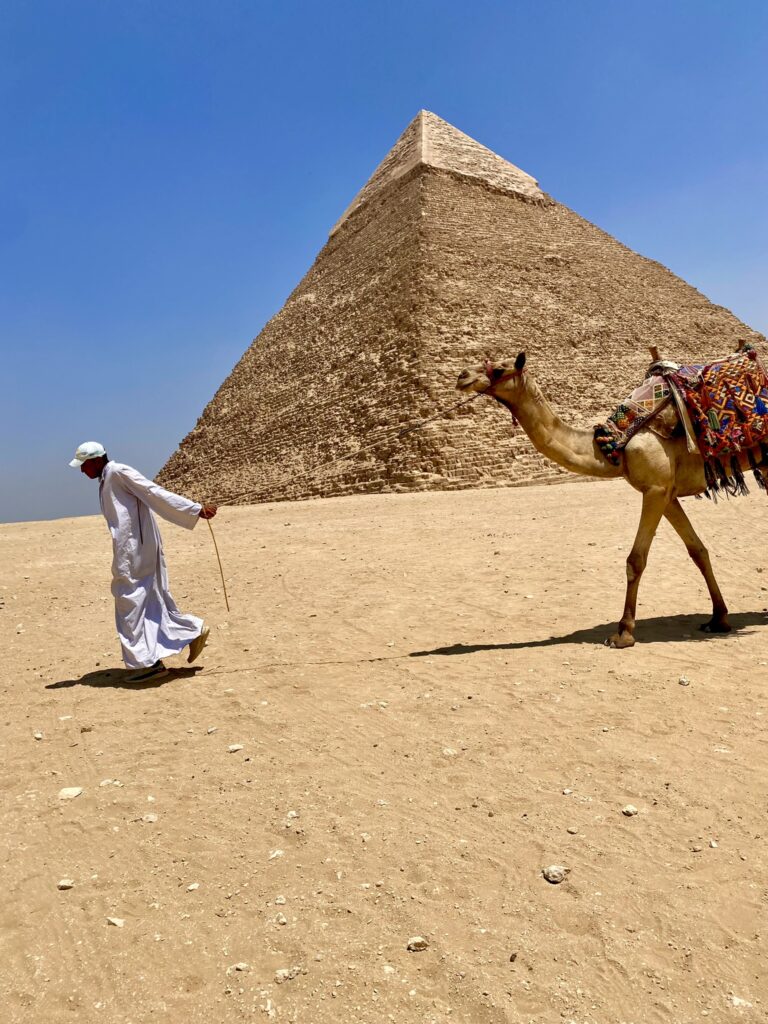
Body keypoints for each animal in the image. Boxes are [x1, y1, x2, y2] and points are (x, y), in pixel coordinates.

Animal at [456, 351, 736, 648]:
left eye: (499, 369)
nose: (462, 376)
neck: (615, 448)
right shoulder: (667, 493)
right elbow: (698, 551)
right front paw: (718, 618)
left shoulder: (655, 490)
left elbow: (636, 560)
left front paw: (623, 632)